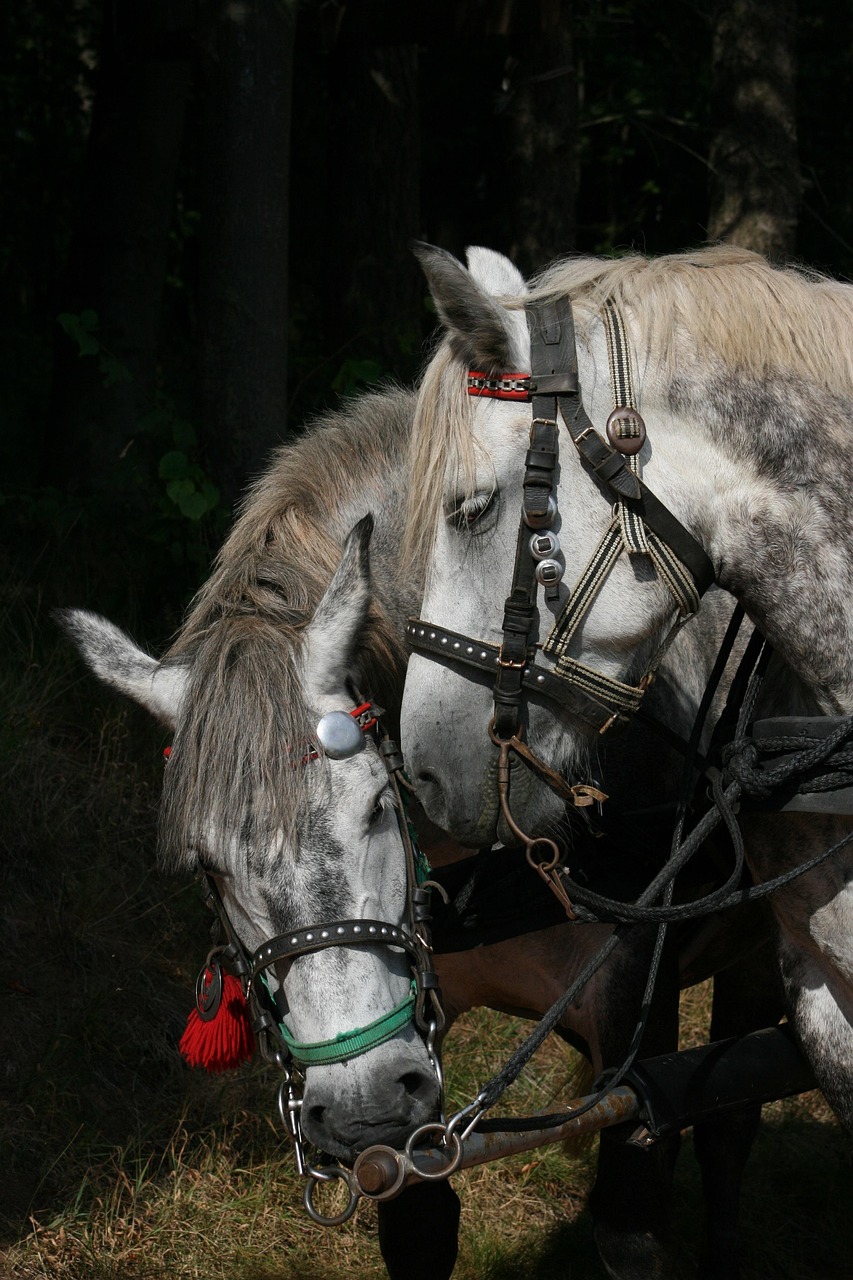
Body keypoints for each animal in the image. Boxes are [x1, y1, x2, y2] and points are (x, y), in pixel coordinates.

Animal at [59, 386, 782, 1280]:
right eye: (205, 864)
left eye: (376, 804)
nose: (360, 1102)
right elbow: (417, 1222)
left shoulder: (632, 1034)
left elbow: (633, 1211)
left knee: (730, 1120)